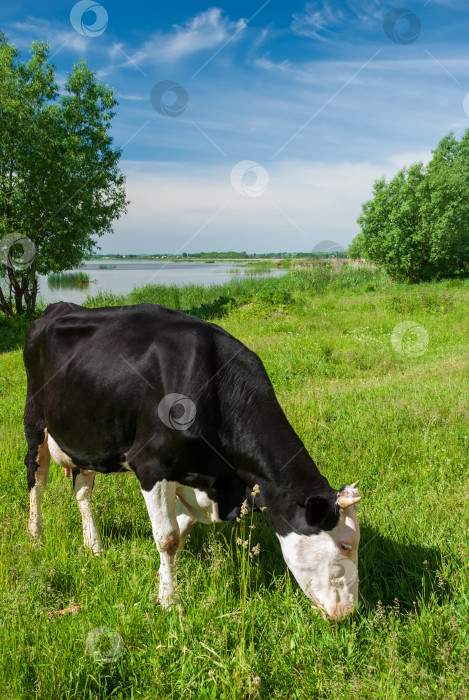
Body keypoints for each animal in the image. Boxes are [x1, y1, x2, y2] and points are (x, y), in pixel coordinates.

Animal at [24, 300, 362, 616]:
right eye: (345, 544)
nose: (348, 611)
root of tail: (58, 308)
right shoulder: (151, 466)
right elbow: (168, 537)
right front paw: (169, 602)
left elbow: (181, 529)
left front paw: (161, 581)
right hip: (35, 421)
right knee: (36, 480)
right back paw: (36, 536)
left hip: (86, 436)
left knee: (83, 491)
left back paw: (93, 545)